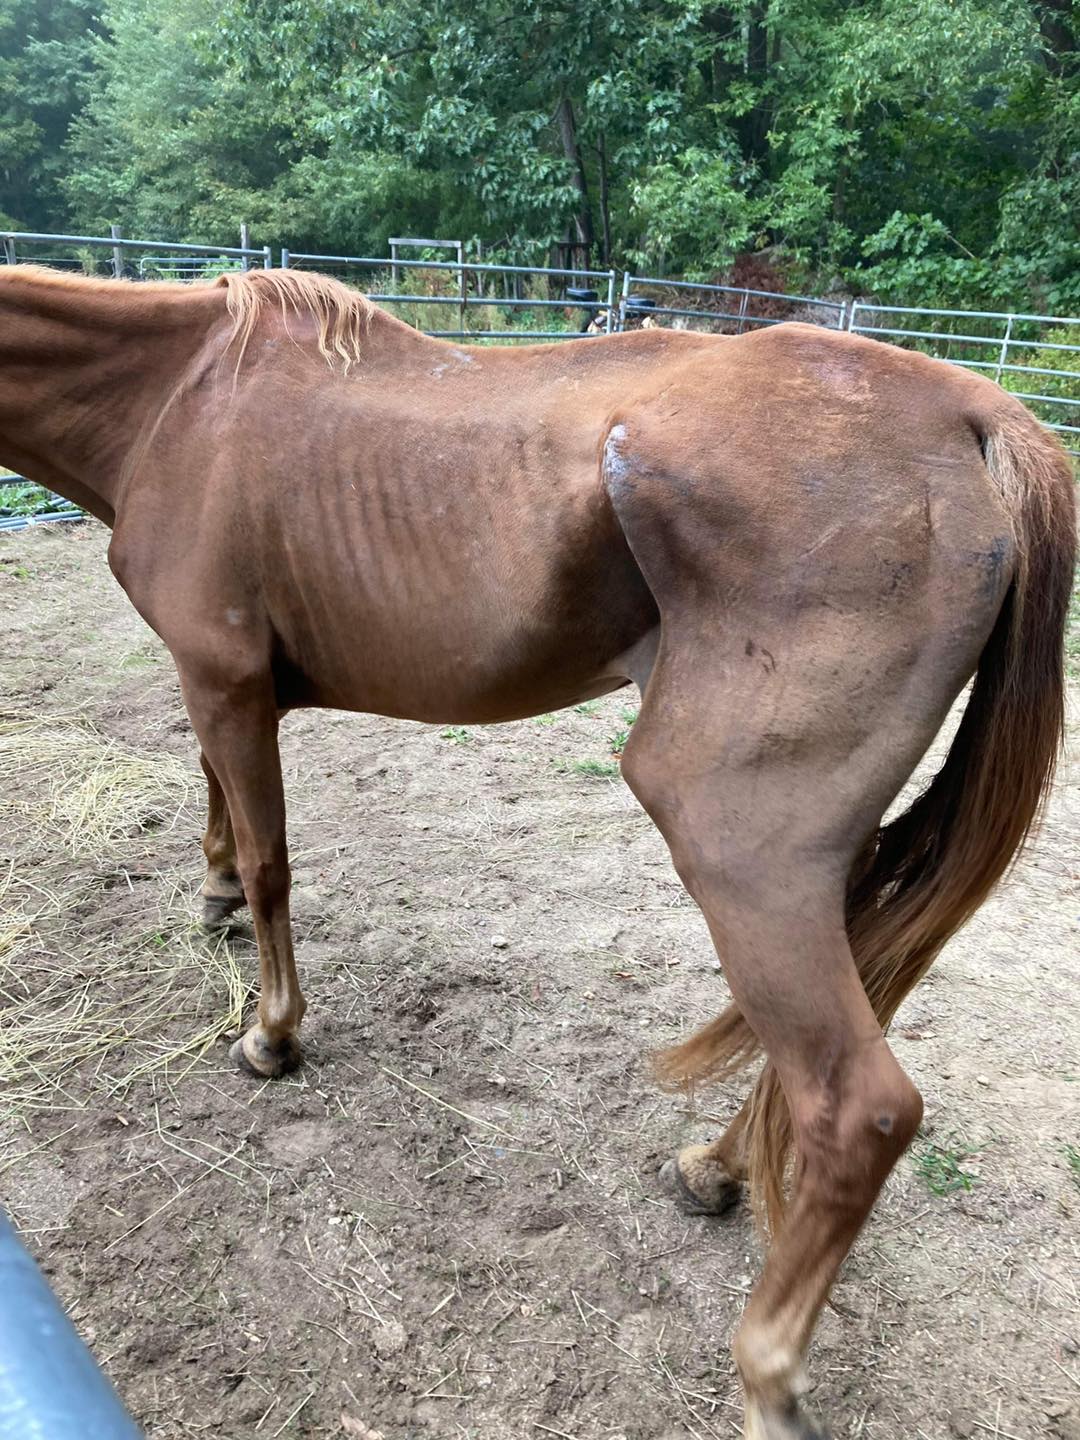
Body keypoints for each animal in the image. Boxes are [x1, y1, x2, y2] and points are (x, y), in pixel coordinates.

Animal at [1, 263, 1073, 1439]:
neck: (180, 397)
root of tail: (970, 412)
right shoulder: (218, 686)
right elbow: (221, 807)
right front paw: (214, 892)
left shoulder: (225, 682)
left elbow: (276, 860)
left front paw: (272, 1033)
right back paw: (715, 1169)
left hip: (740, 851)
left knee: (862, 1107)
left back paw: (767, 1371)